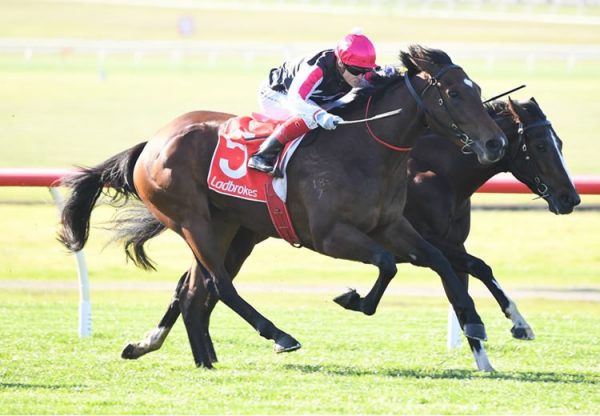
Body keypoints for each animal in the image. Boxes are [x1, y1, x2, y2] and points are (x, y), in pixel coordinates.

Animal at [58, 45, 506, 368]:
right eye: (454, 93)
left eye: (479, 90)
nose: (495, 142)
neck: (364, 150)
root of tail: (152, 142)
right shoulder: (329, 236)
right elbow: (386, 264)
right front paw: (352, 298)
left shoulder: (392, 226)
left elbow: (441, 261)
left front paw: (475, 322)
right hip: (189, 220)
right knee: (219, 284)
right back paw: (278, 335)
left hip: (224, 225)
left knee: (194, 289)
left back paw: (198, 358)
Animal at [111, 96, 576, 370]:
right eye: (539, 146)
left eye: (560, 143)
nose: (570, 197)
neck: (433, 169)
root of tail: (153, 144)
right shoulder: (420, 240)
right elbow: (474, 267)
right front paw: (511, 328)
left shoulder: (433, 241)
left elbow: (467, 277)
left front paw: (495, 339)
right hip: (213, 228)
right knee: (209, 285)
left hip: (233, 231)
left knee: (194, 287)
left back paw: (165, 346)